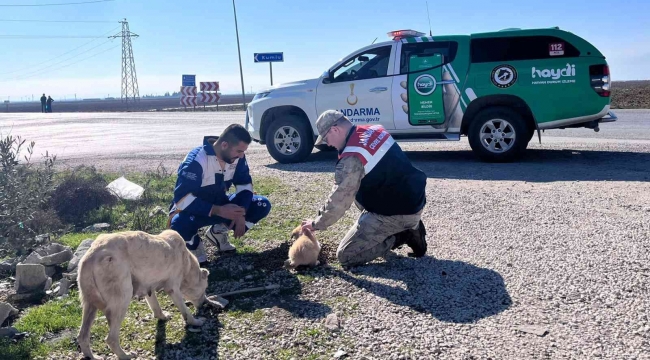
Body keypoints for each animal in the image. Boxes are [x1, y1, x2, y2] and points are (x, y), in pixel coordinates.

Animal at [76, 231, 210, 360]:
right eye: (204, 289)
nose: (204, 304)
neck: (187, 262)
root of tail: (90, 257)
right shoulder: (173, 288)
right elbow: (186, 311)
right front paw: (196, 322)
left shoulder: (148, 286)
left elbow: (156, 306)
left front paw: (163, 316)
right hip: (122, 297)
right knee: (111, 339)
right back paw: (126, 355)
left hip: (89, 305)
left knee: (82, 336)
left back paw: (92, 356)